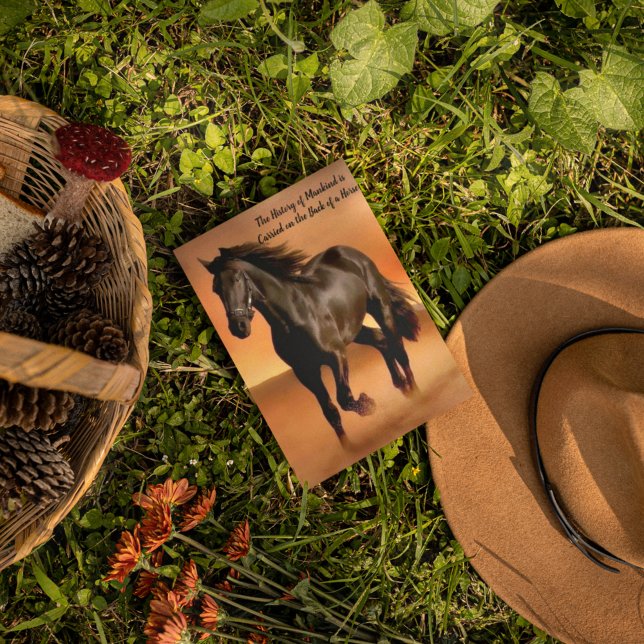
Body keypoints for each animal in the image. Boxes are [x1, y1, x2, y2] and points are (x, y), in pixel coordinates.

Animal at [201, 243, 420, 440]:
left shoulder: (337, 355)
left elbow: (344, 399)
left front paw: (369, 404)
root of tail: (350, 251)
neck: (294, 315)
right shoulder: (306, 372)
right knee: (381, 341)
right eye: (215, 288)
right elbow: (331, 414)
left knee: (400, 350)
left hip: (381, 310)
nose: (239, 327)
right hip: (354, 330)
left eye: (237, 279)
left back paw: (414, 393)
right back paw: (403, 388)